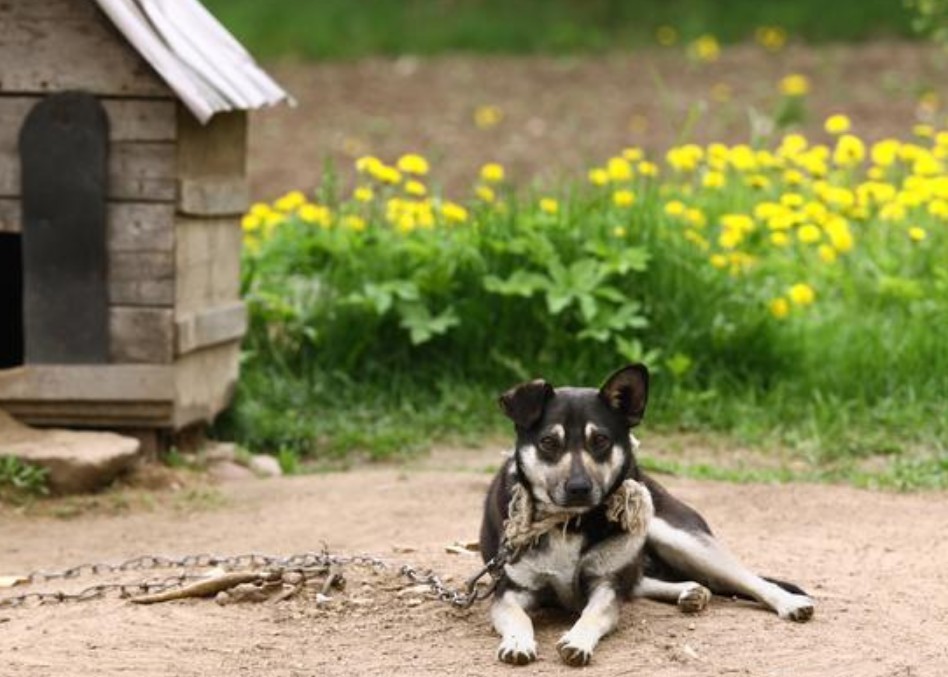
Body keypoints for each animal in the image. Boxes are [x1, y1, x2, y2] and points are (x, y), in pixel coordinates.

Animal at [482, 364, 816, 664]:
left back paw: (787, 602)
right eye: (548, 442)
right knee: (642, 581)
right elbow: (519, 617)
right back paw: (690, 591)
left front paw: (577, 640)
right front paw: (517, 642)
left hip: (679, 538)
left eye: (600, 440)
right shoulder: (511, 590)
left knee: (746, 578)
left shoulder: (605, 585)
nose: (579, 488)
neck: (569, 523)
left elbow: (594, 613)